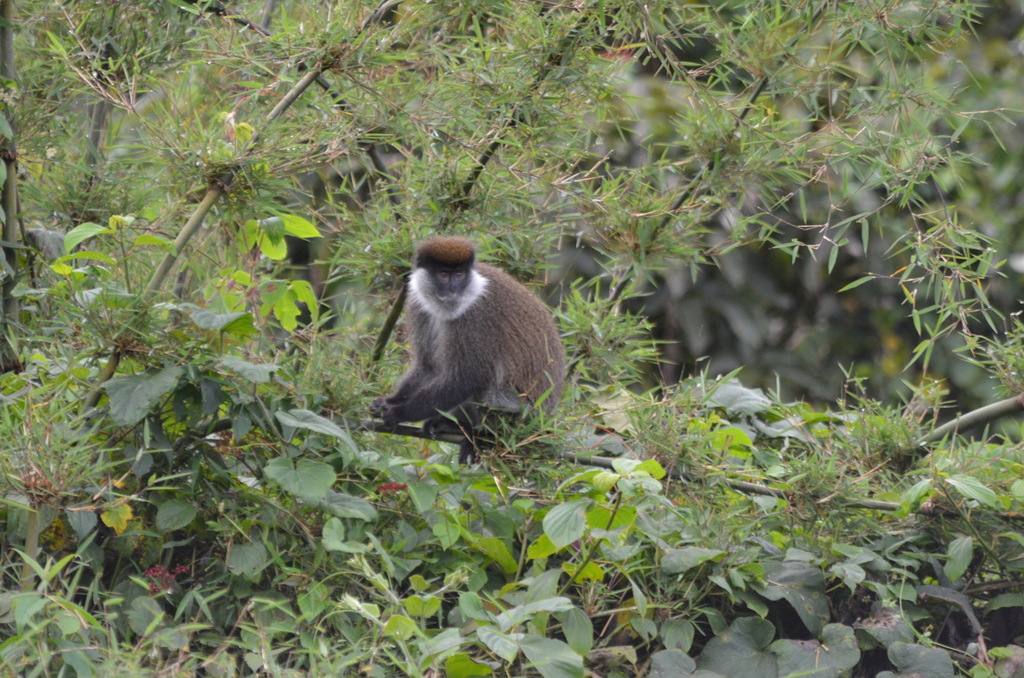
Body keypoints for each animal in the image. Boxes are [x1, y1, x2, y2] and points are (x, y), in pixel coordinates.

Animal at [370, 236, 565, 464]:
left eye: (459, 275)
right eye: (443, 274)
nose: (453, 290)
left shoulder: (475, 317)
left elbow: (467, 378)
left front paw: (400, 413)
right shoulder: (418, 304)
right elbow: (428, 367)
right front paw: (388, 401)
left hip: (519, 415)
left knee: (485, 389)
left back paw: (481, 435)